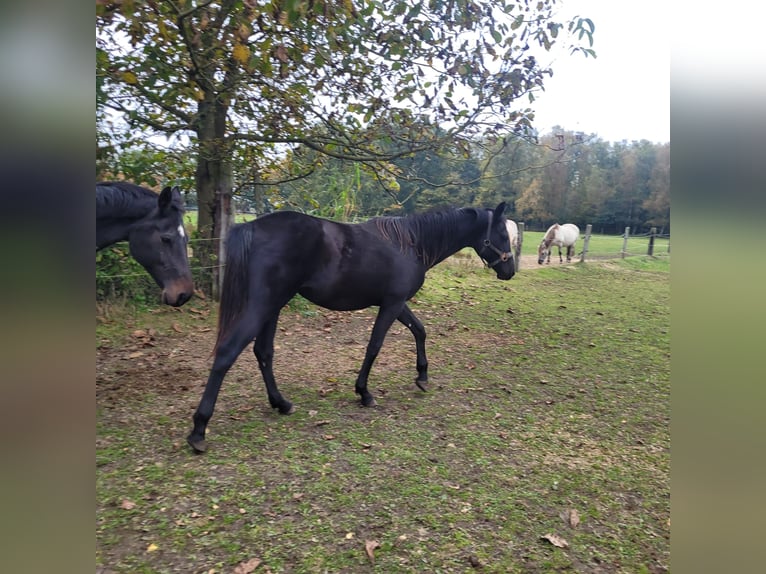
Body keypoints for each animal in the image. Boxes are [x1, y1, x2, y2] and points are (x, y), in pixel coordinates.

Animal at [189, 205, 520, 452]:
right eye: (502, 233)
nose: (510, 271)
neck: (411, 243)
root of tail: (254, 228)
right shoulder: (392, 304)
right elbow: (375, 346)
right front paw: (364, 392)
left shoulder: (396, 303)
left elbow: (420, 330)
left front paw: (422, 376)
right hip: (263, 305)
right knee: (228, 352)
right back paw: (199, 430)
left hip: (272, 306)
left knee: (263, 352)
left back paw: (281, 404)